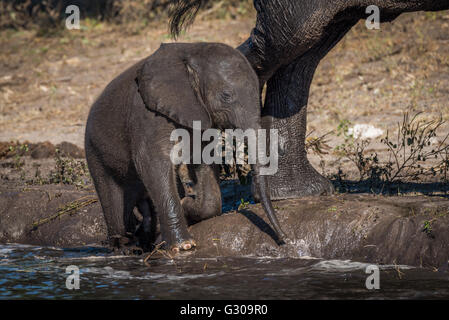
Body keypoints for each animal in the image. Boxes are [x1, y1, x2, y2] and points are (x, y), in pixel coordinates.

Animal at [84, 42, 284, 252]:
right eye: (226, 96)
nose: (282, 238)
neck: (193, 51)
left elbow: (204, 160)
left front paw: (186, 203)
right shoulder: (146, 115)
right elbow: (153, 163)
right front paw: (183, 246)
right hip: (94, 150)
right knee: (111, 194)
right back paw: (125, 247)